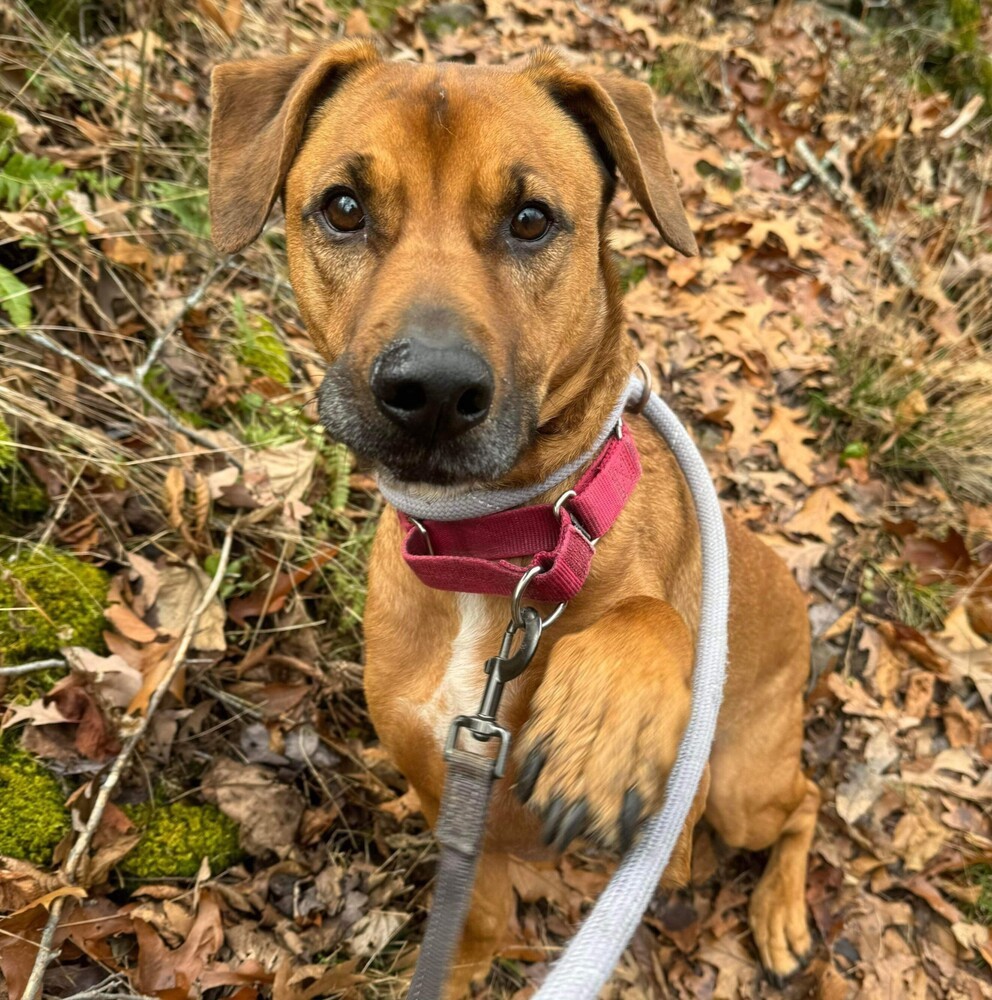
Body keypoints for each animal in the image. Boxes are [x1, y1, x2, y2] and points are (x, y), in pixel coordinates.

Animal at [207, 39, 812, 992]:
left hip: (740, 786)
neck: (502, 547)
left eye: (531, 219)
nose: (432, 390)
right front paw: (458, 969)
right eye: (342, 207)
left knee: (805, 804)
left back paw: (781, 910)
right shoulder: (450, 791)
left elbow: (651, 617)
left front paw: (603, 722)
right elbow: (478, 913)